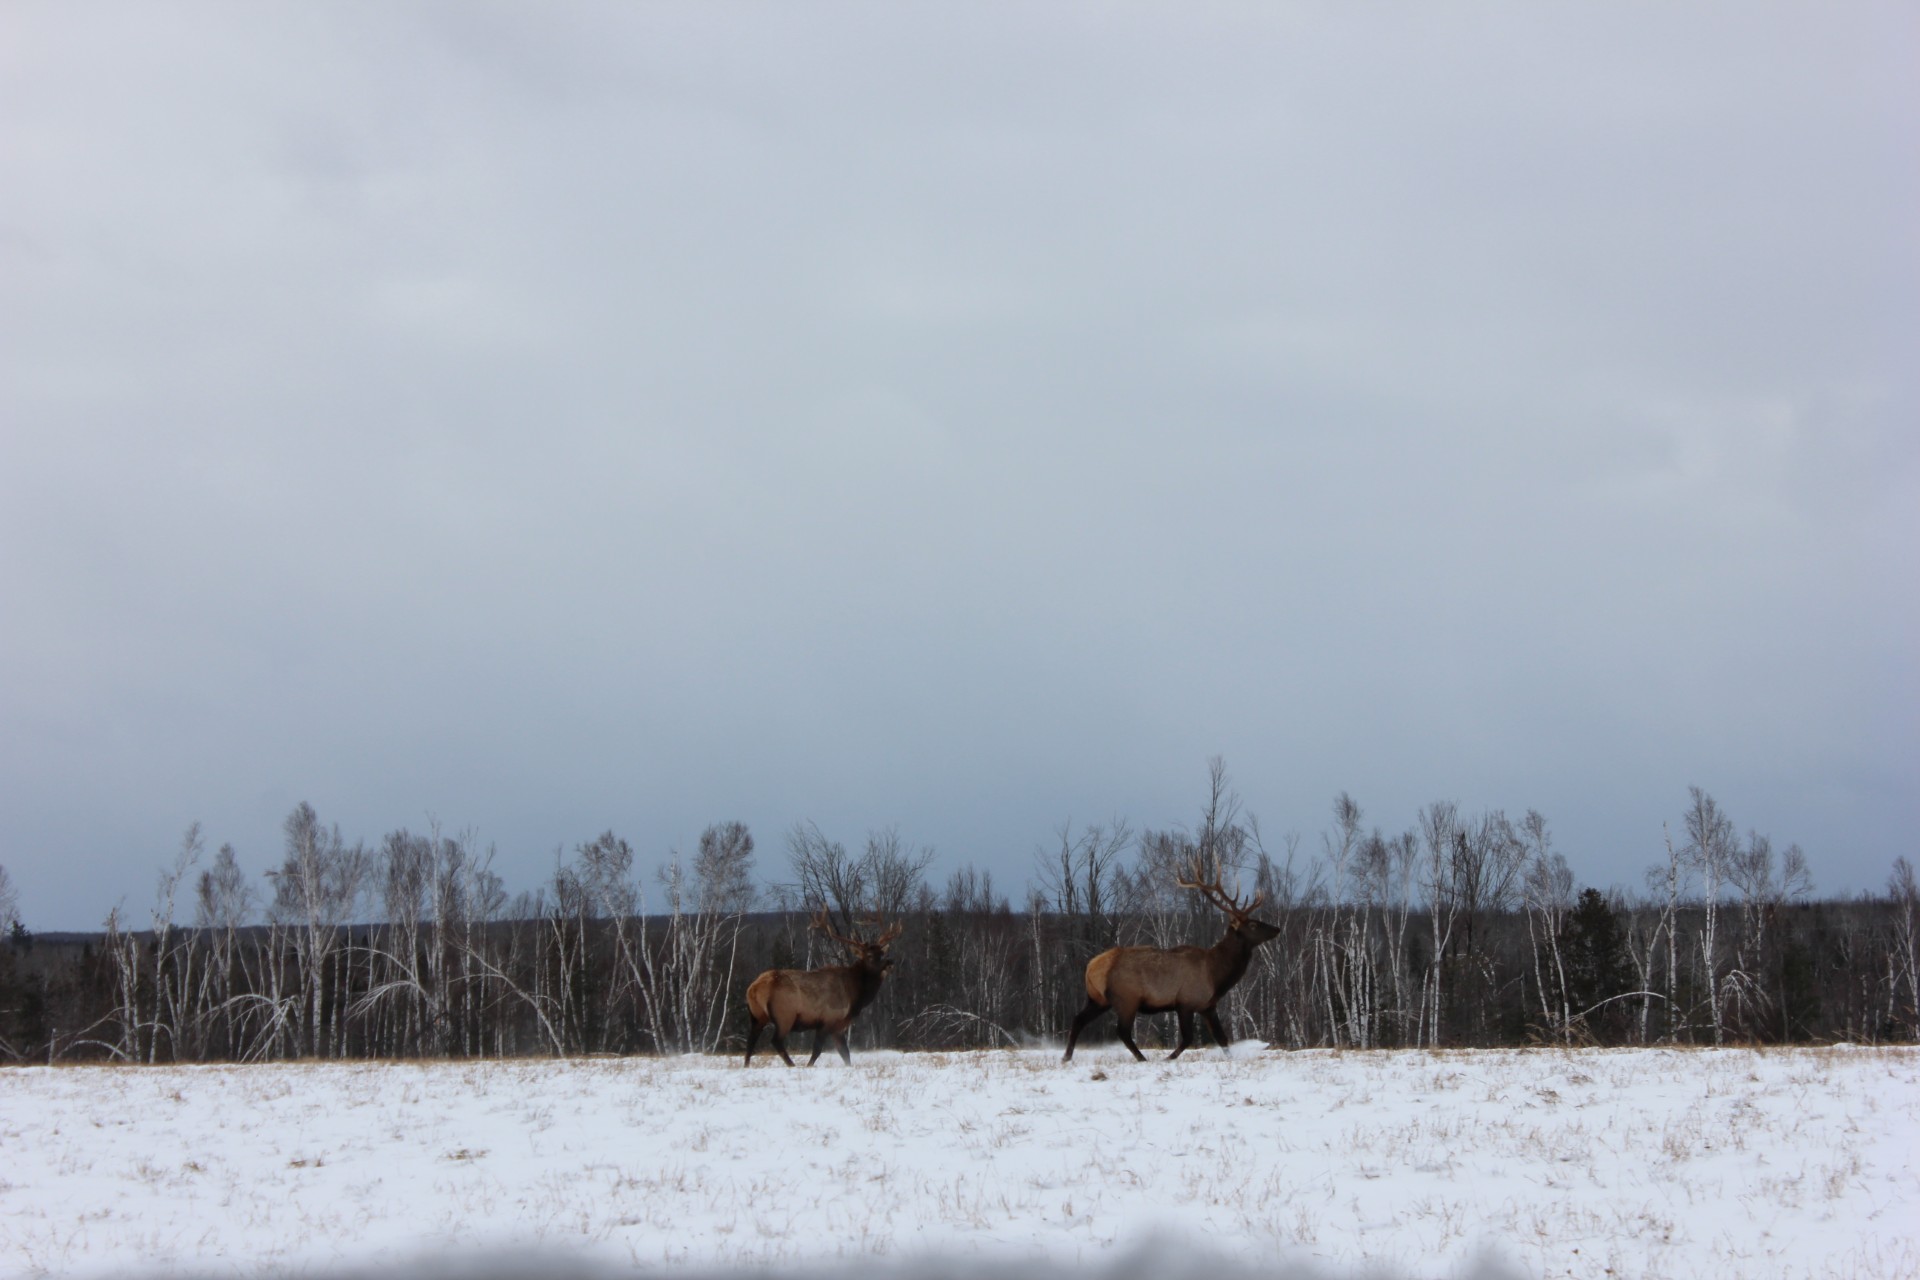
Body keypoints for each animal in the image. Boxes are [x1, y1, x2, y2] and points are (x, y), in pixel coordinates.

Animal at [743, 910, 903, 1067]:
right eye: (869, 956)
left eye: (882, 953)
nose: (890, 963)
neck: (854, 996)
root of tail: (754, 988)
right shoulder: (827, 1019)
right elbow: (817, 1050)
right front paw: (808, 1066)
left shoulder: (838, 1026)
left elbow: (845, 1054)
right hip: (784, 1014)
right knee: (775, 1040)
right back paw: (792, 1065)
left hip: (757, 1015)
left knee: (751, 1041)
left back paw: (746, 1065)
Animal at [1062, 857, 1281, 1062]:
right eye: (1253, 925)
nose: (1277, 928)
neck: (1216, 976)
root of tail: (1091, 968)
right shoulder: (1185, 1001)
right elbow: (1188, 1038)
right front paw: (1168, 1058)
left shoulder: (1208, 1006)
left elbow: (1222, 1038)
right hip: (1126, 998)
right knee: (1122, 1031)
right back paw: (1142, 1058)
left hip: (1098, 998)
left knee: (1078, 1019)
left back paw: (1067, 1057)